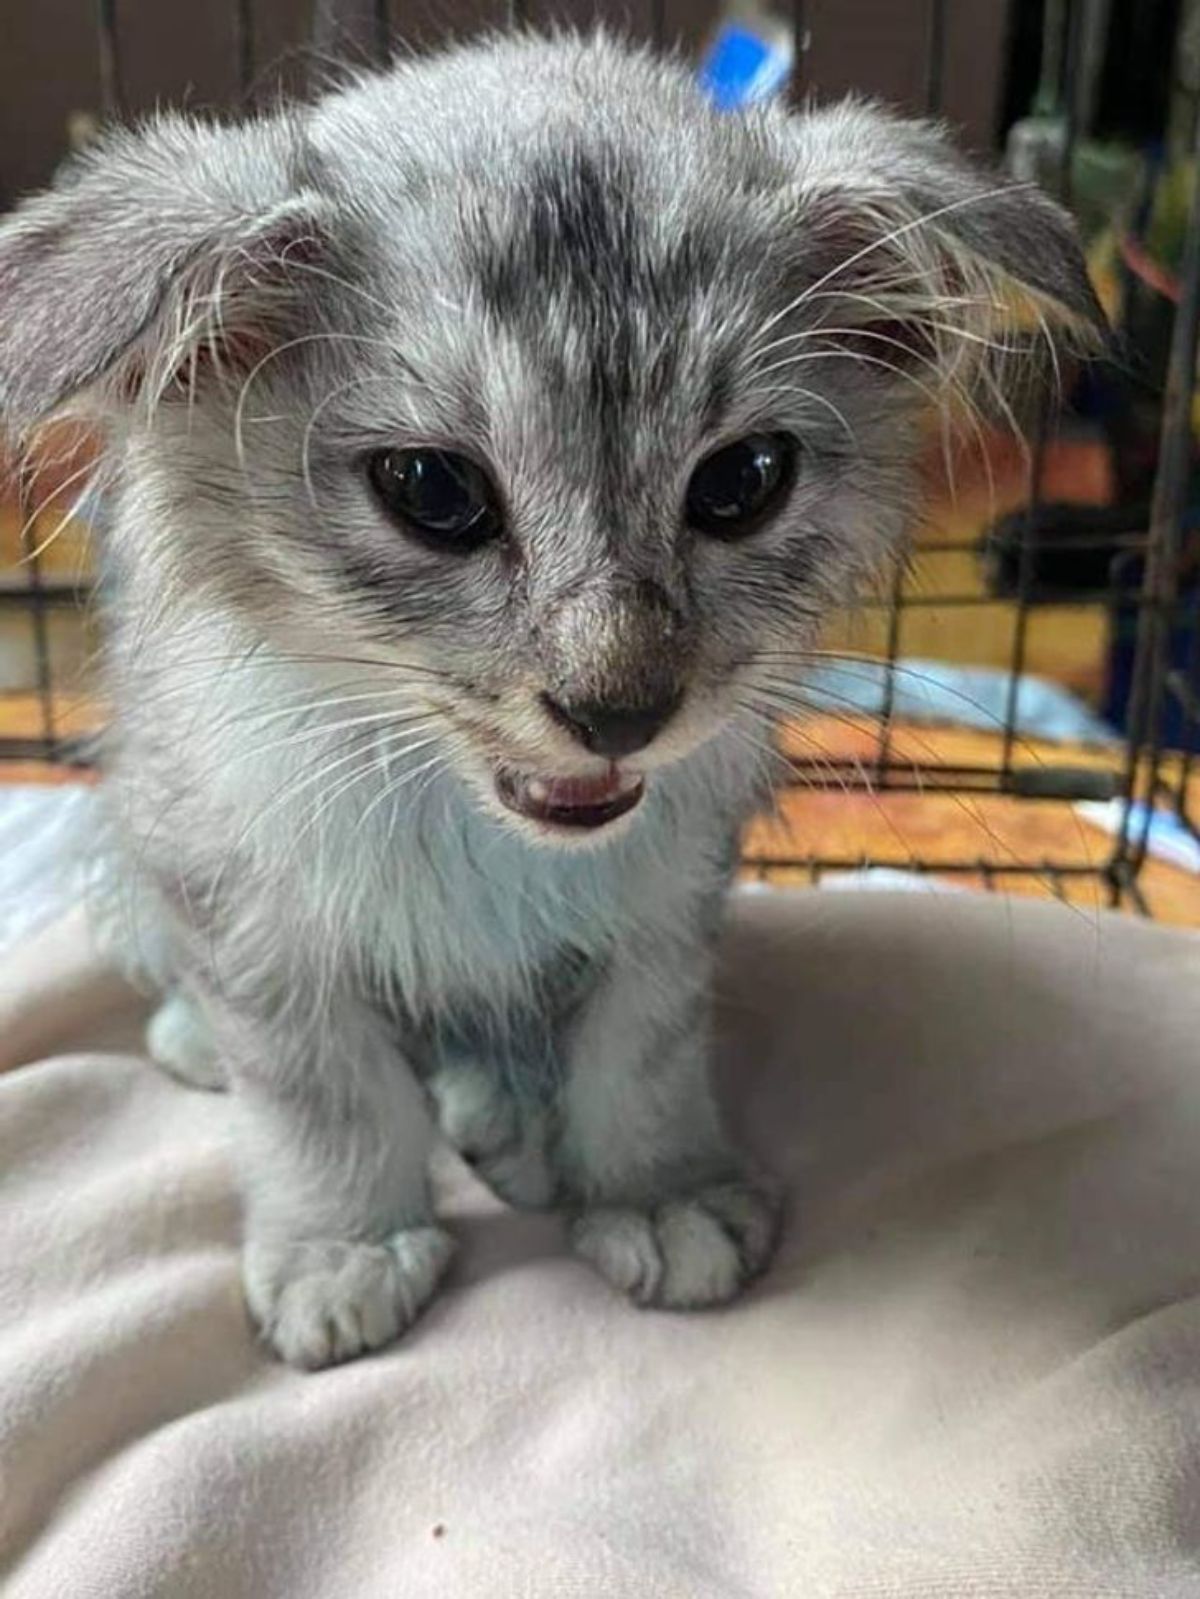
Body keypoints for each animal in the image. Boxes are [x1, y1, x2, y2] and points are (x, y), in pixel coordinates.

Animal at [0, 31, 1107, 1368]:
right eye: (432, 490)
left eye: (743, 480)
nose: (619, 710)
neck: (474, 833)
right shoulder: (232, 869)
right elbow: (319, 1086)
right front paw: (343, 1240)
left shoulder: (674, 883)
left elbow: (641, 1045)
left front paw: (653, 1184)